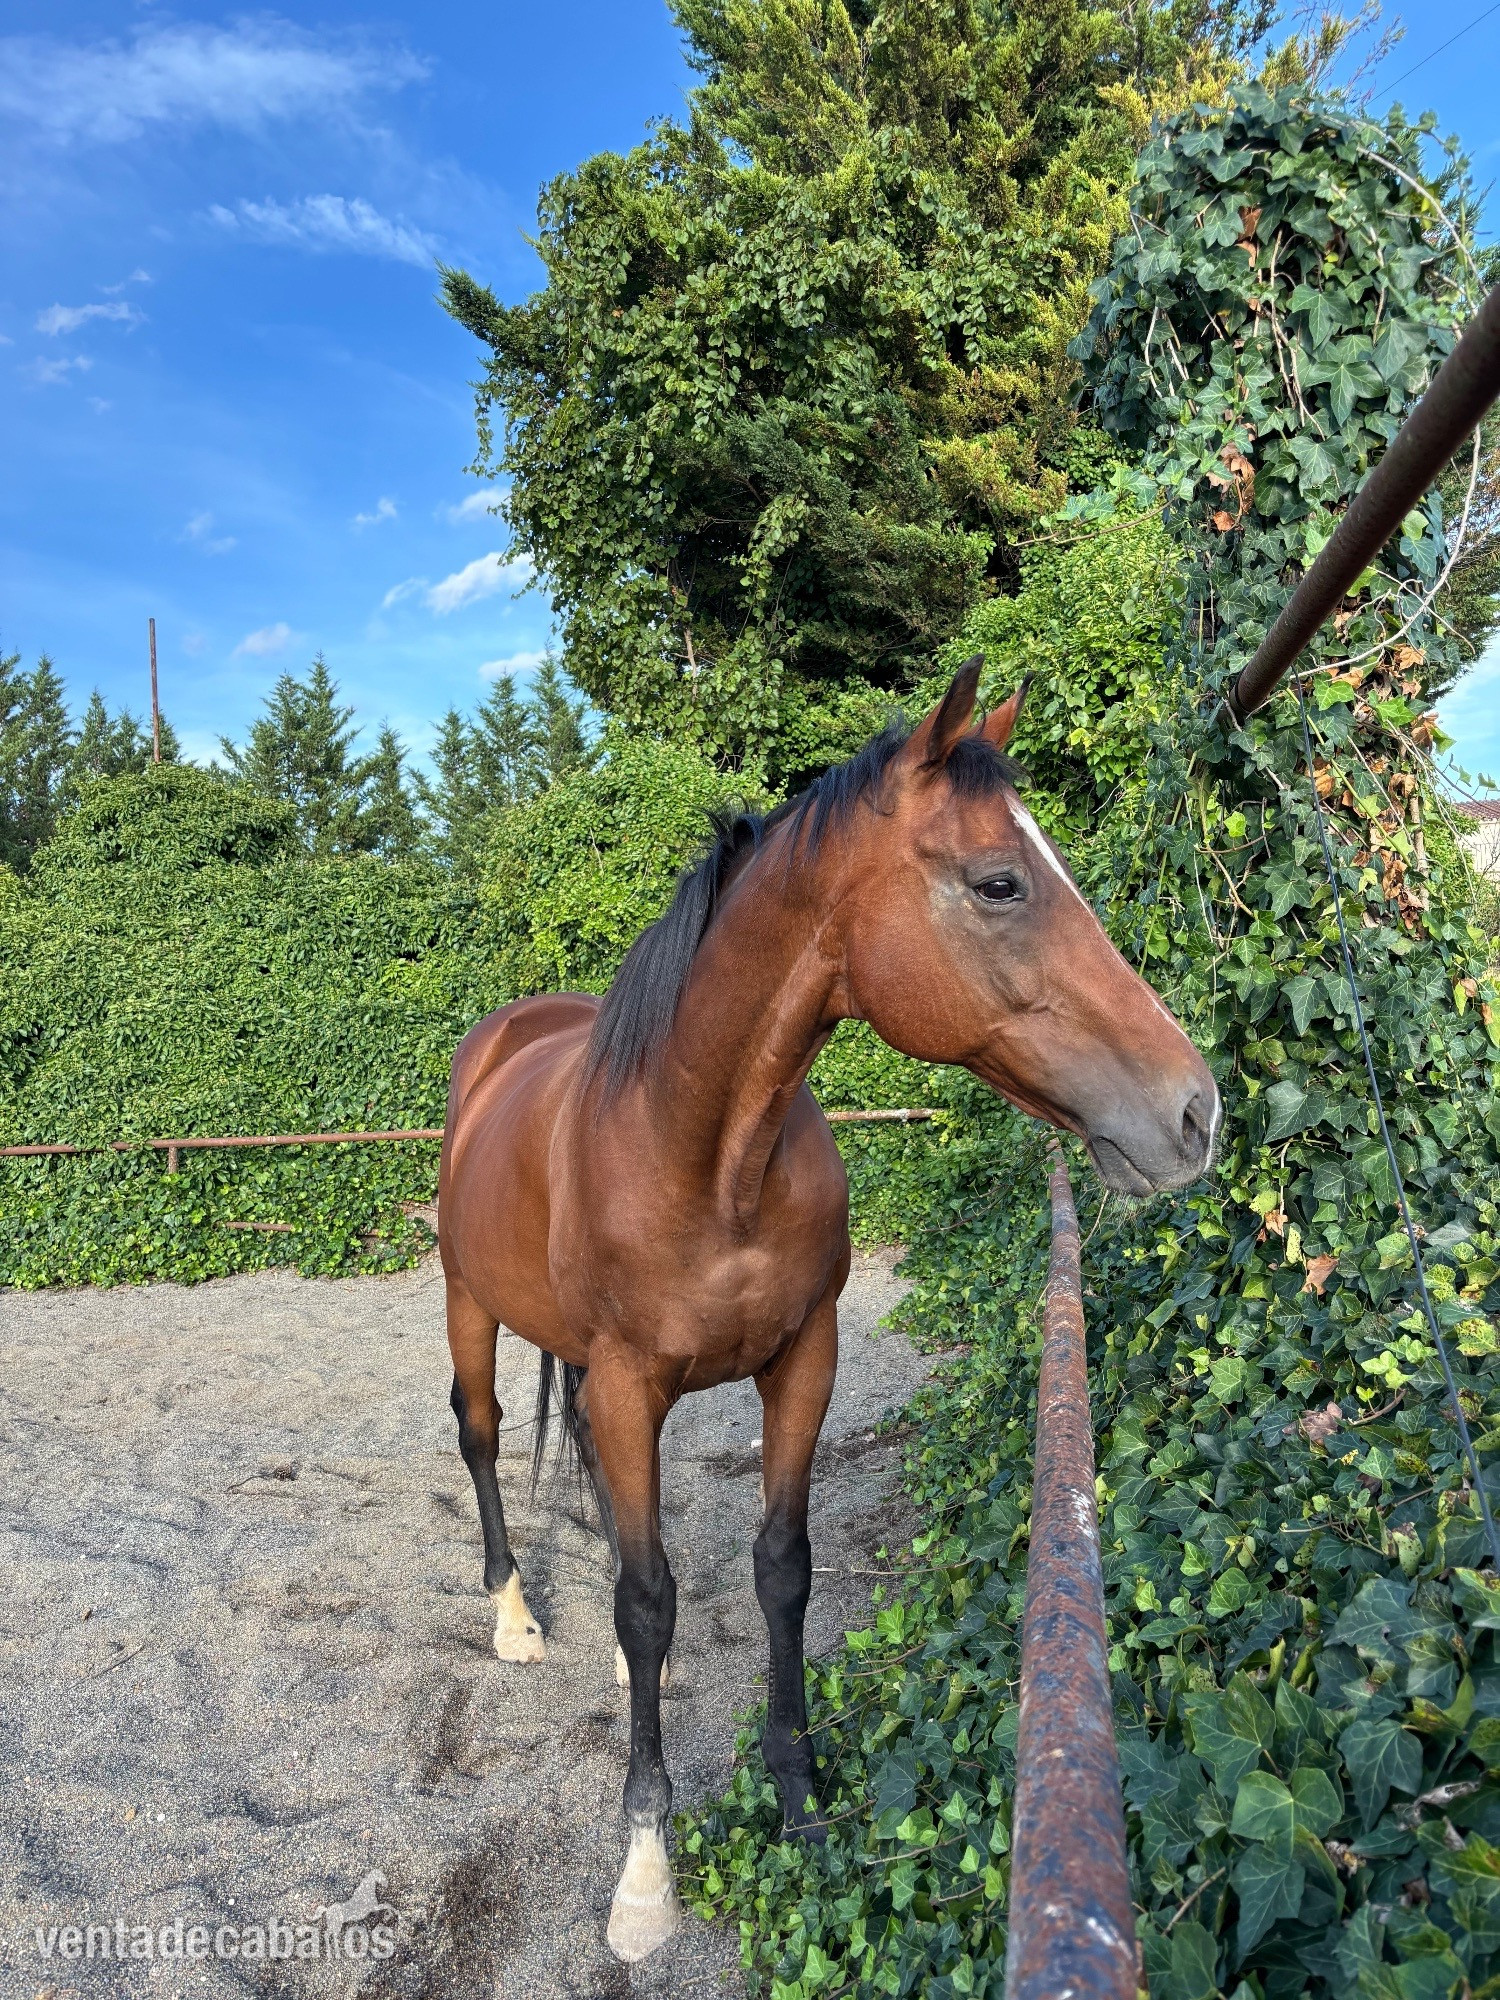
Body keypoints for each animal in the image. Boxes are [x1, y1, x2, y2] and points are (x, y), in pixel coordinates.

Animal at [437, 658, 1219, 1961]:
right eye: (999, 881)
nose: (1196, 1110)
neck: (704, 1151)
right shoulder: (636, 1382)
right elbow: (647, 1596)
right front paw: (645, 1870)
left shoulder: (803, 1357)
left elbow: (778, 1568)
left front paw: (800, 1795)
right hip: (467, 1305)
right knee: (484, 1435)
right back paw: (513, 1615)